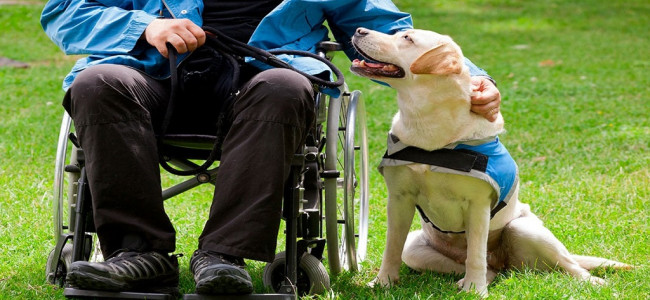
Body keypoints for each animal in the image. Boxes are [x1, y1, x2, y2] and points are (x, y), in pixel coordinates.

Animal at [350, 27, 628, 296]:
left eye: (407, 38)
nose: (359, 30)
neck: (429, 126)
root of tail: (502, 262)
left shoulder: (477, 205)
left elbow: (475, 255)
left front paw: (475, 290)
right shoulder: (399, 199)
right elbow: (391, 248)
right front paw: (383, 283)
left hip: (524, 229)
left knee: (569, 265)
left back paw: (593, 283)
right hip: (415, 248)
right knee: (488, 269)